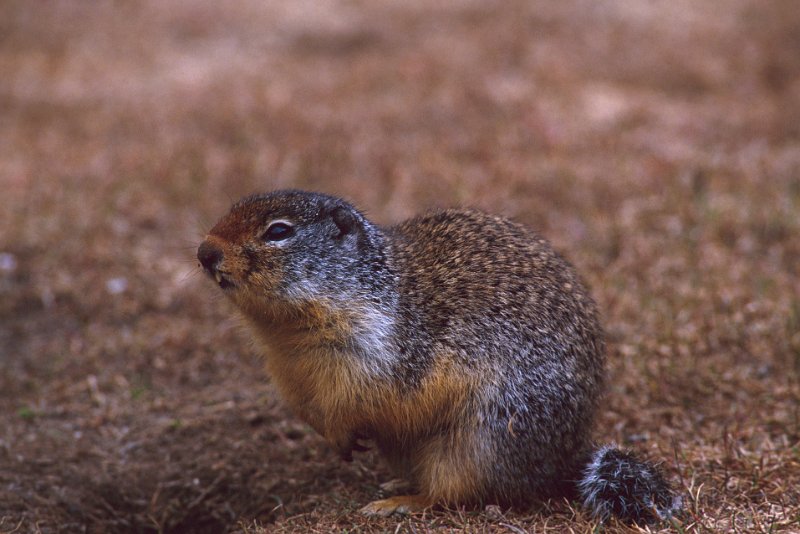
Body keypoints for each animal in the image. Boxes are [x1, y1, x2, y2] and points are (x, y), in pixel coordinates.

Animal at [198, 191, 680, 524]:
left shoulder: (376, 347)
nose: (204, 252)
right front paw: (335, 439)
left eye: (278, 231)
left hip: (480, 439)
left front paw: (344, 434)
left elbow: (358, 396)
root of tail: (565, 461)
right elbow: (306, 407)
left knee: (454, 493)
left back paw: (397, 502)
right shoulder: (285, 370)